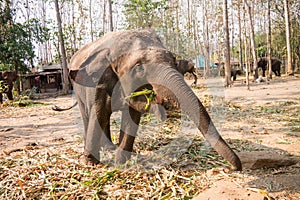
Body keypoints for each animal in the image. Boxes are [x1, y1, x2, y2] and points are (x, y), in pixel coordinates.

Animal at [68, 29, 241, 170]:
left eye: (174, 60)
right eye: (138, 66)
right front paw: (90, 163)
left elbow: (132, 117)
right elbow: (99, 112)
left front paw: (121, 164)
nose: (233, 168)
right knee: (87, 114)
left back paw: (109, 147)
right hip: (78, 89)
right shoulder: (98, 84)